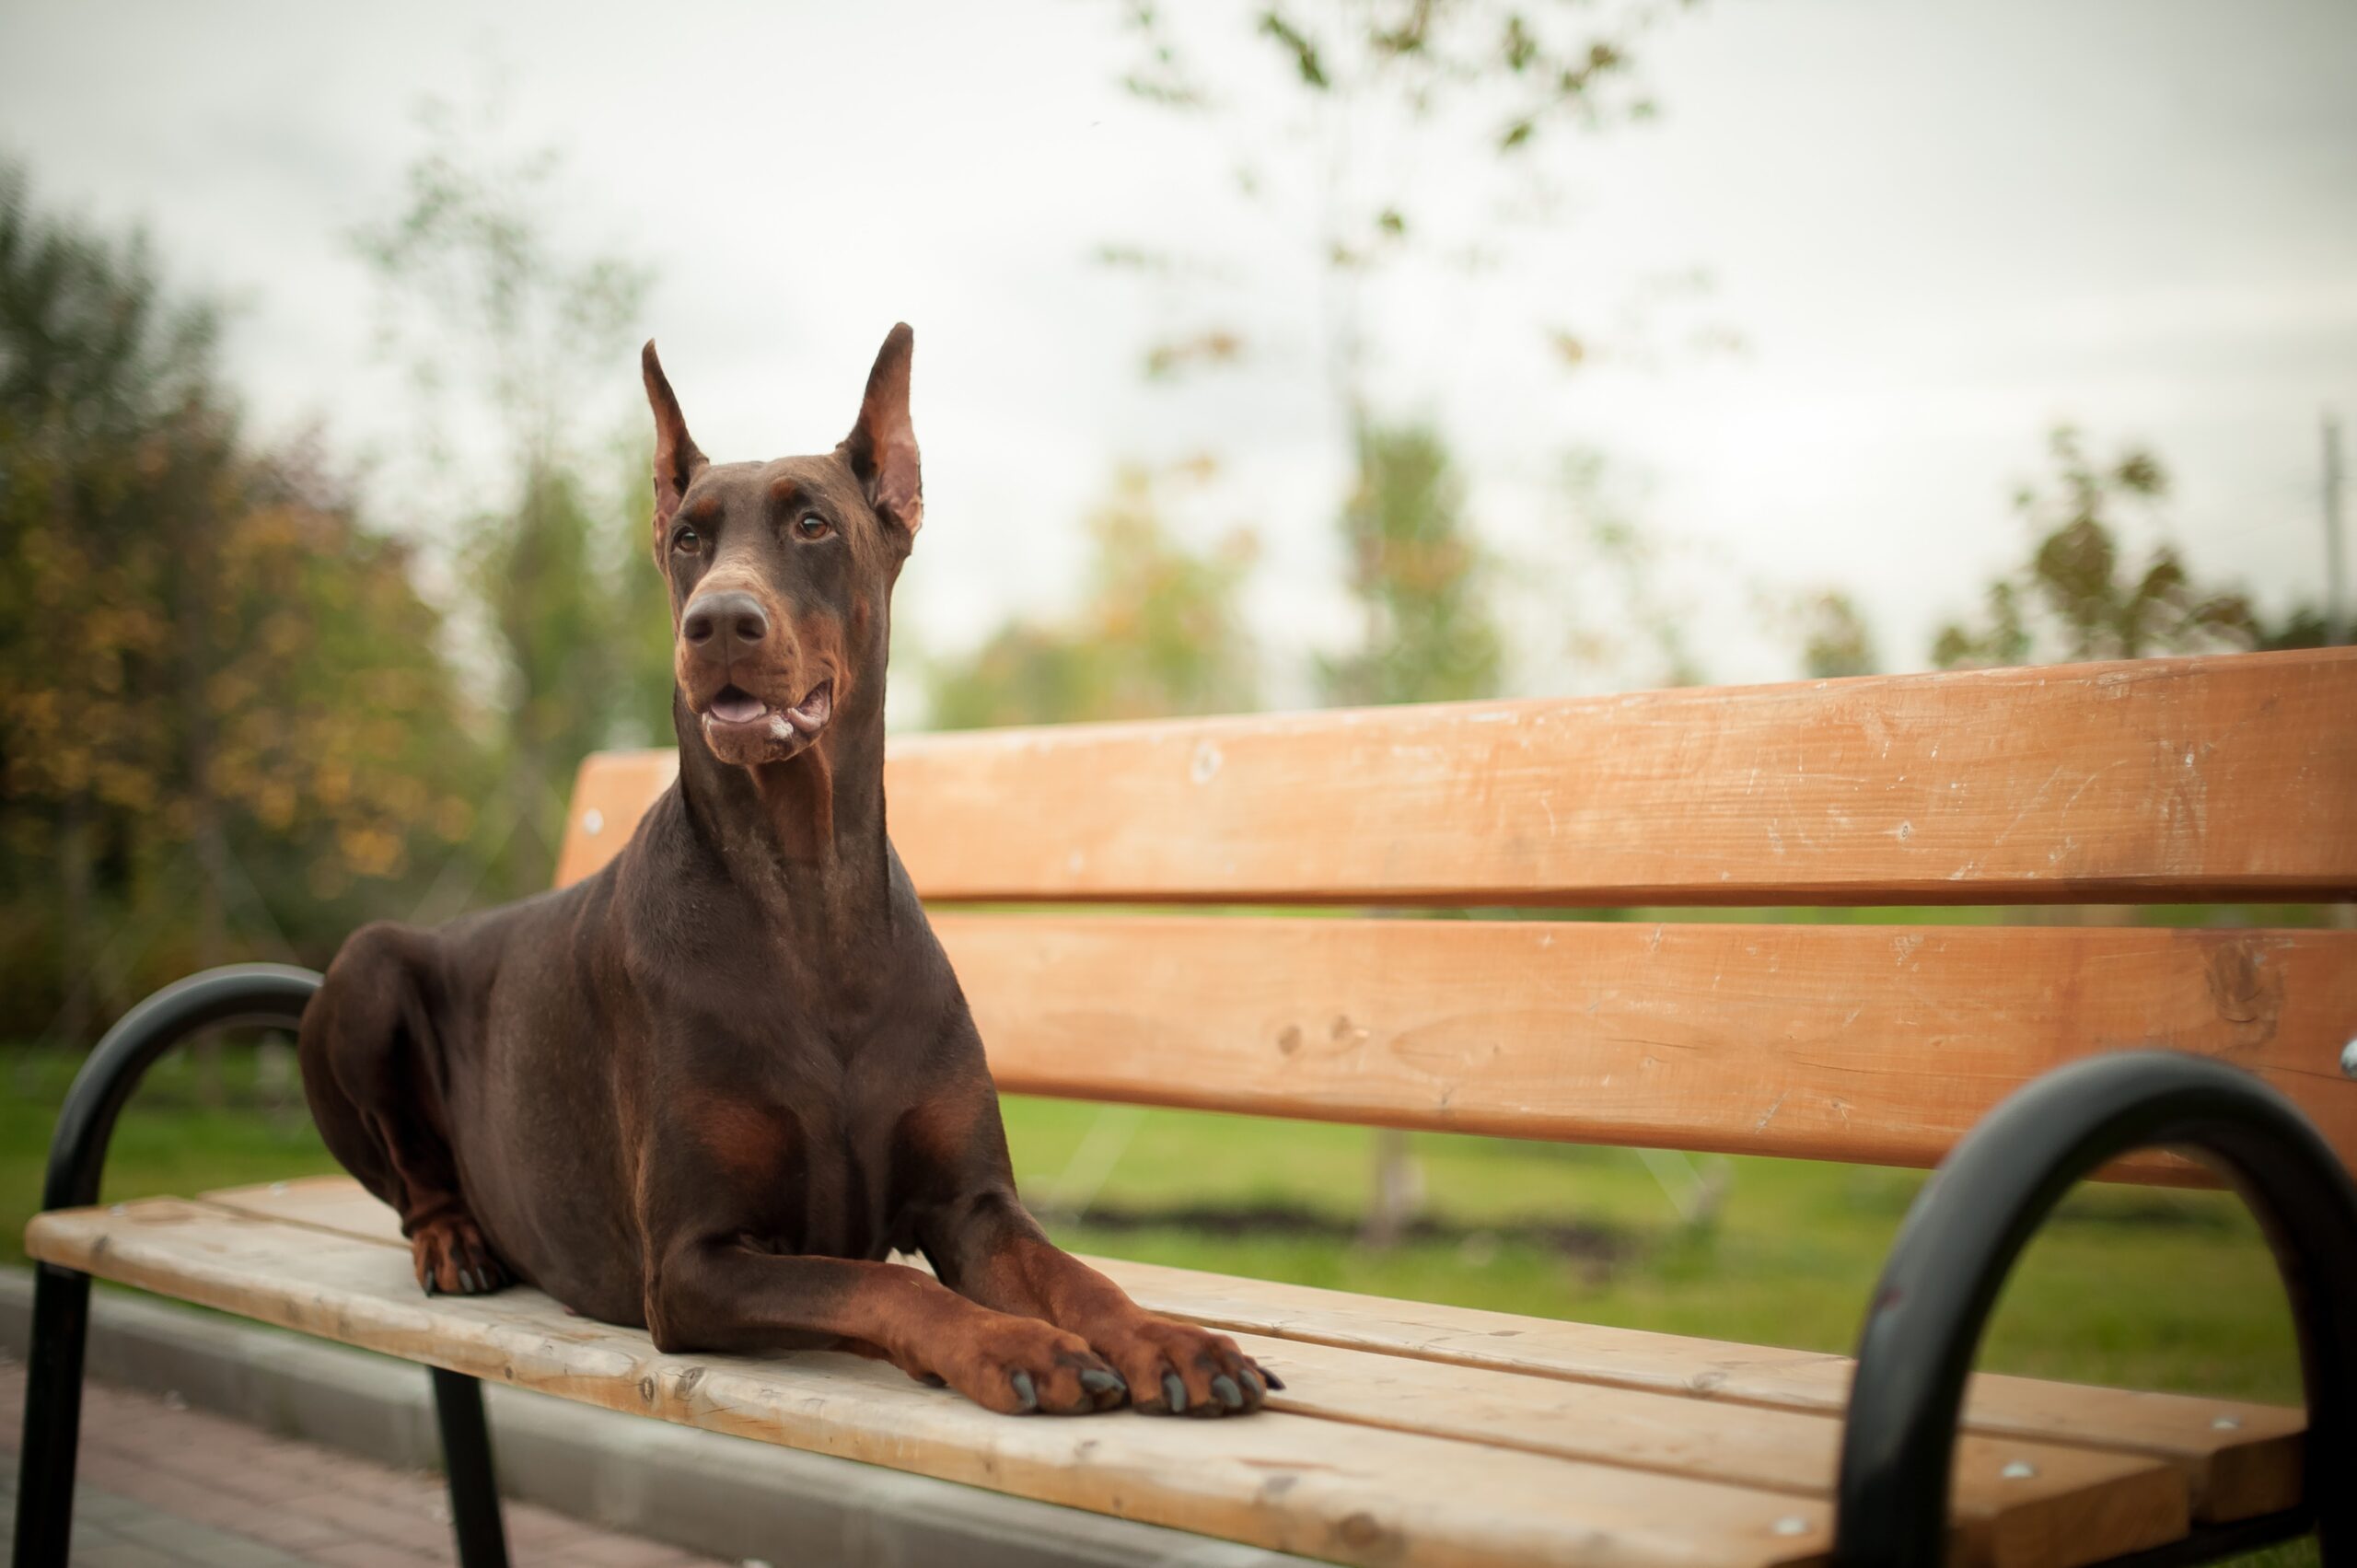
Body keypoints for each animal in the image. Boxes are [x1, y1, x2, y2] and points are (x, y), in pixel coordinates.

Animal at [304, 327, 1282, 1414]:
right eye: (688, 538)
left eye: (812, 522)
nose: (720, 621)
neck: (808, 889)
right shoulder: (692, 1260)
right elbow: (884, 1281)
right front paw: (1017, 1345)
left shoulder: (972, 1201)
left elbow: (1077, 1274)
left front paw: (1170, 1340)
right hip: (368, 967)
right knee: (411, 1176)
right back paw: (453, 1240)